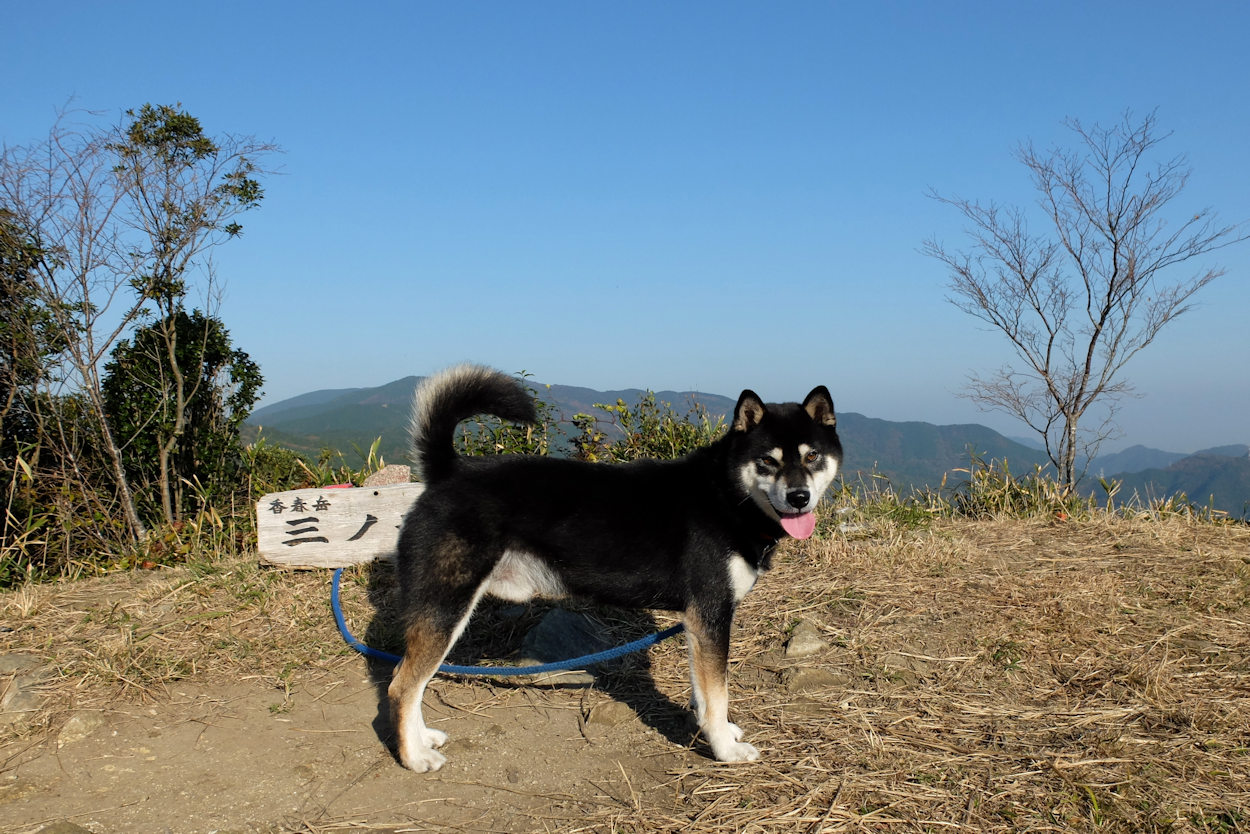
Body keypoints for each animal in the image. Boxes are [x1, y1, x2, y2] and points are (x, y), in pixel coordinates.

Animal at [387, 365, 842, 772]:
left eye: (812, 456)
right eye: (767, 461)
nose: (799, 497)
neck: (726, 496)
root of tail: (449, 471)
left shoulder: (700, 624)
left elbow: (705, 694)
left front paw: (719, 732)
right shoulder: (711, 616)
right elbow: (718, 694)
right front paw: (724, 750)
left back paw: (423, 738)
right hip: (446, 609)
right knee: (402, 684)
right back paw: (413, 757)